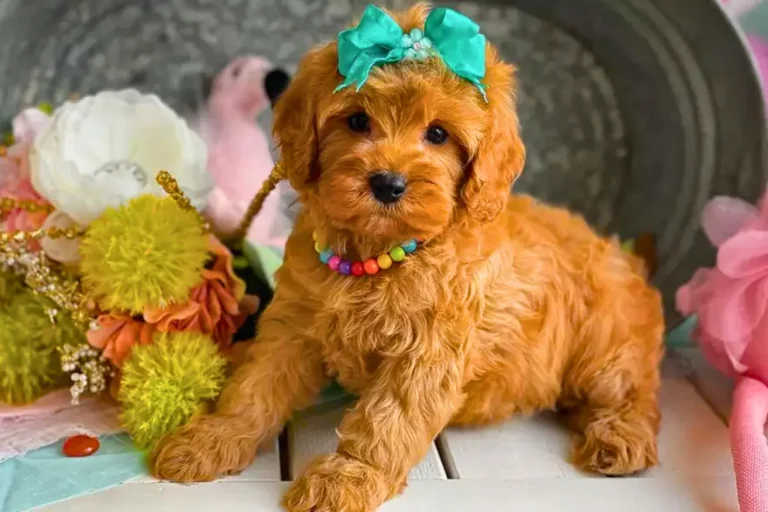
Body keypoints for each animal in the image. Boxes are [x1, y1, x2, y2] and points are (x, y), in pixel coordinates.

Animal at [152, 5, 664, 512]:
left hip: (606, 344)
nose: (388, 183)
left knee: (634, 391)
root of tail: (625, 257)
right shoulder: (293, 325)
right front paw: (212, 439)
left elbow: (388, 419)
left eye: (437, 134)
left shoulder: (427, 352)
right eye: (357, 121)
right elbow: (257, 385)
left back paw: (619, 437)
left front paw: (348, 477)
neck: (380, 254)